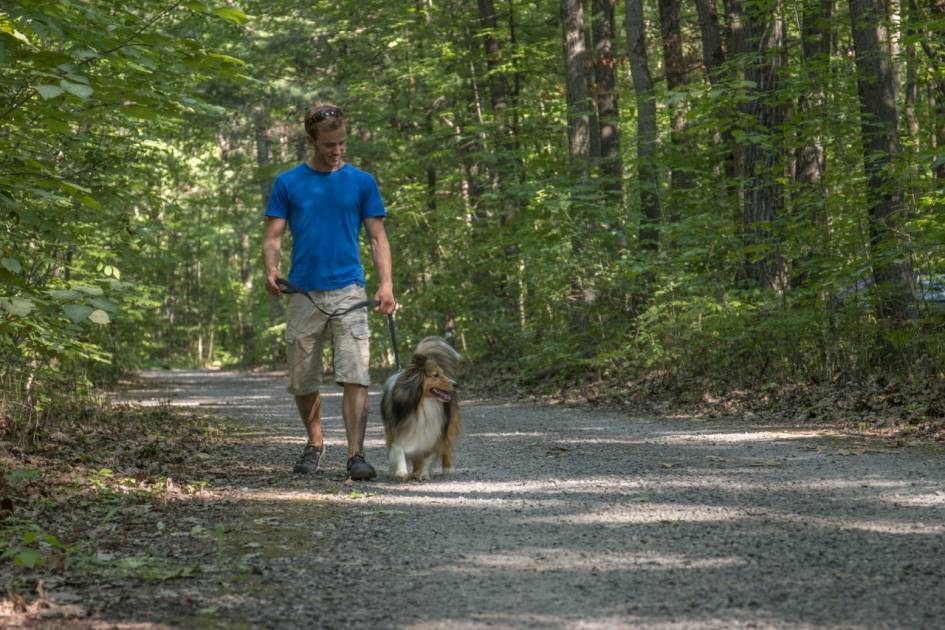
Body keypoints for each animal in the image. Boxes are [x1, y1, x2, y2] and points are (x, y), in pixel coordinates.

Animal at [380, 338, 460, 482]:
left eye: (442, 373)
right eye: (435, 375)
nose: (457, 385)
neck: (421, 403)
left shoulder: (434, 430)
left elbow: (429, 455)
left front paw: (424, 473)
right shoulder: (396, 428)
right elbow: (399, 448)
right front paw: (402, 471)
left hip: (448, 424)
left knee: (446, 445)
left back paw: (447, 468)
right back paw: (415, 471)